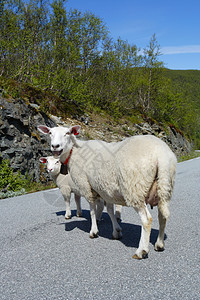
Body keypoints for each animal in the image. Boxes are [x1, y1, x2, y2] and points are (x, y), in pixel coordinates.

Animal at [37, 125, 177, 260]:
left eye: (67, 133)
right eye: (50, 133)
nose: (55, 146)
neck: (74, 153)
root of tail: (161, 153)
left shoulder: (86, 186)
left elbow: (93, 210)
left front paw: (94, 231)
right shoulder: (106, 189)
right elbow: (109, 210)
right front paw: (116, 231)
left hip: (134, 188)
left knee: (147, 220)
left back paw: (141, 251)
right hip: (165, 187)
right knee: (163, 216)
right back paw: (159, 244)